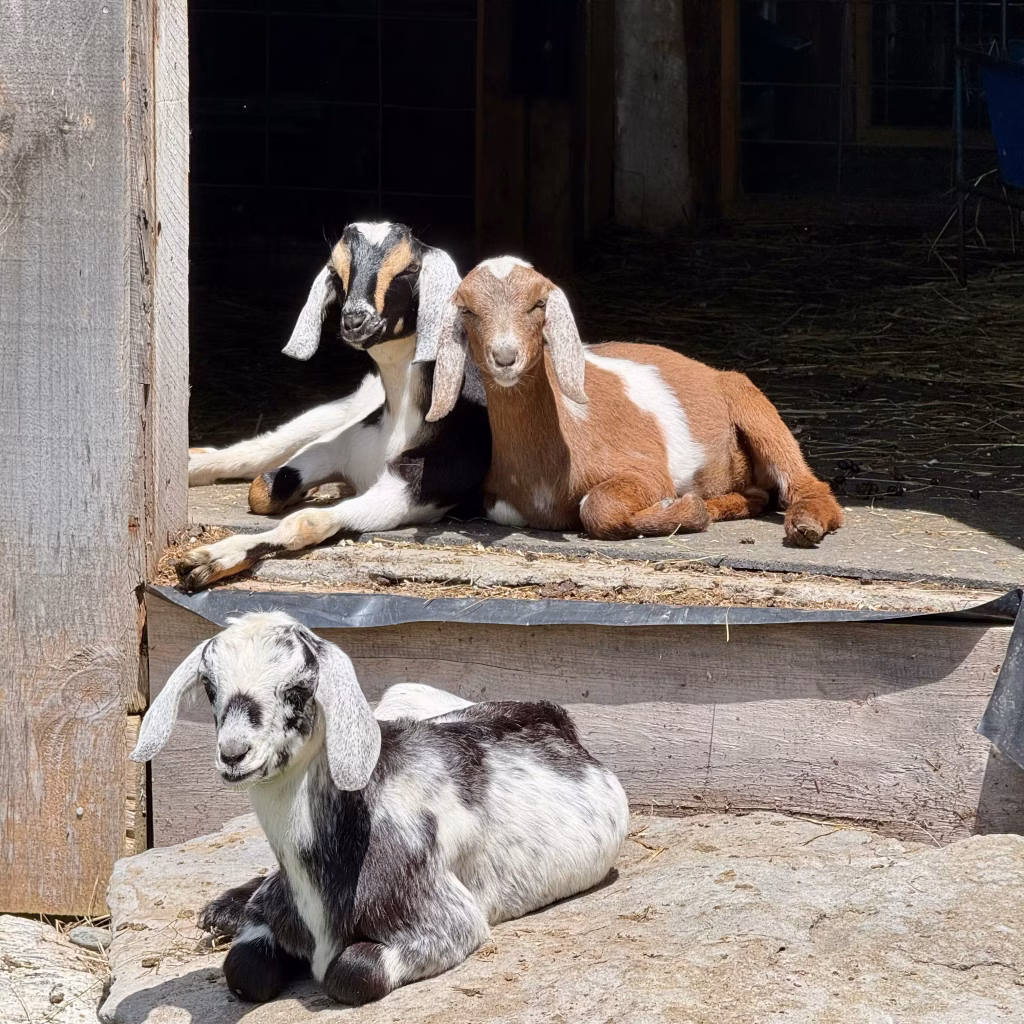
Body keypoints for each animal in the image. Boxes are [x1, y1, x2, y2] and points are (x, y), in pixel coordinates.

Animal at [130, 612, 629, 1006]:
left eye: (298, 689)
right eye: (210, 686)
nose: (234, 754)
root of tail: (553, 713)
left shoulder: (448, 922)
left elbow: (351, 973)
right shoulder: (271, 915)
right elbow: (243, 969)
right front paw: (234, 917)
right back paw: (221, 911)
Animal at [178, 222, 490, 590]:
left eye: (410, 268)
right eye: (337, 272)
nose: (355, 320)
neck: (399, 419)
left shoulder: (415, 492)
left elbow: (306, 521)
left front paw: (211, 559)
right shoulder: (338, 446)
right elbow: (262, 489)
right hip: (328, 415)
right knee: (257, 450)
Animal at [426, 257, 843, 546]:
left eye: (538, 304)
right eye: (467, 310)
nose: (505, 357)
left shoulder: (646, 471)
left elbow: (597, 507)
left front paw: (679, 509)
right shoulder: (500, 507)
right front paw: (689, 509)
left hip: (751, 403)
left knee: (806, 483)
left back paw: (806, 524)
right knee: (758, 494)